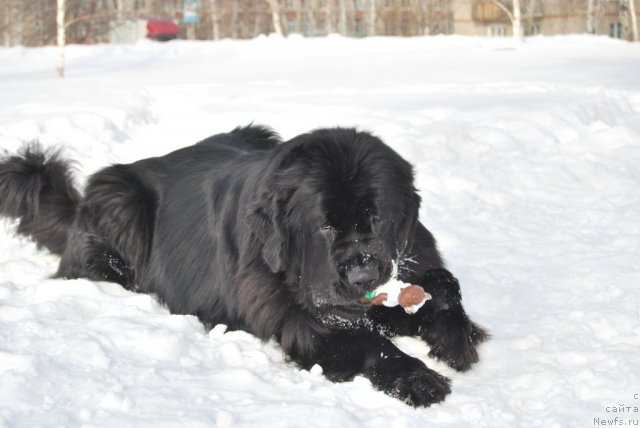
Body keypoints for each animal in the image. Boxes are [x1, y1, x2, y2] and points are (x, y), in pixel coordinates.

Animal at [0, 125, 484, 406]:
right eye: (324, 226)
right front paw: (417, 377)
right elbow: (368, 342)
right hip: (119, 200)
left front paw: (454, 337)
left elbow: (442, 282)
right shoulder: (301, 321)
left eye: (378, 219)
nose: (363, 275)